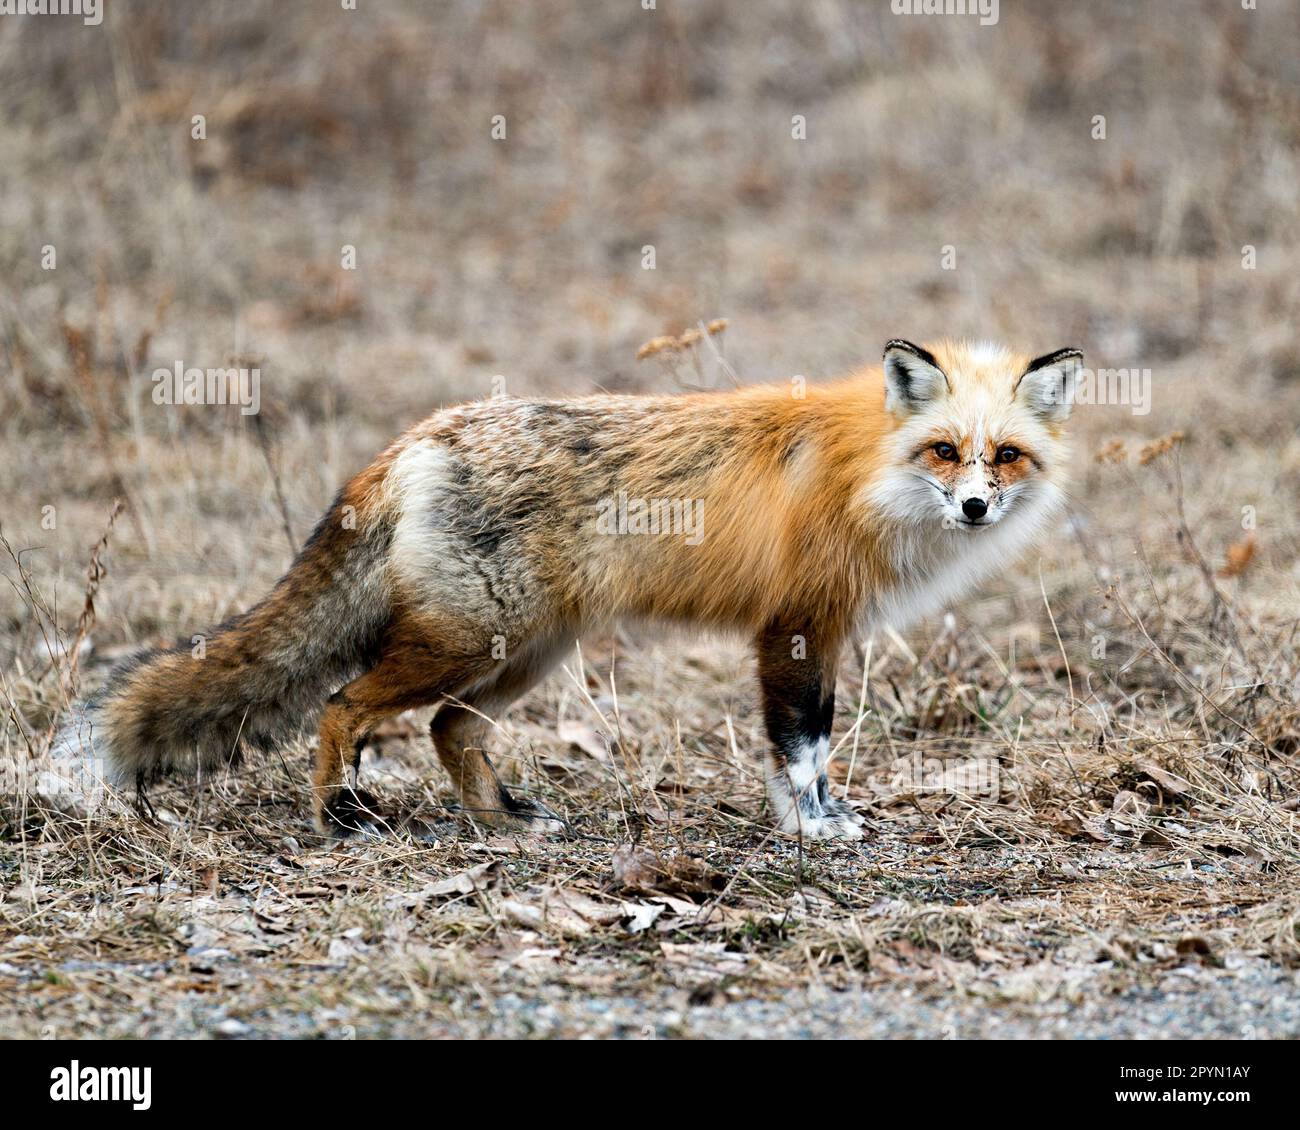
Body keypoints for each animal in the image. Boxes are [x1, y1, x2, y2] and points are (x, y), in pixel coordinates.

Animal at [55, 340, 1081, 842]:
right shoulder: (792, 632)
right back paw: (340, 818)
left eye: (1005, 456)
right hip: (469, 644)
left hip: (523, 655)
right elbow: (802, 748)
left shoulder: (820, 634)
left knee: (449, 731)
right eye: (944, 450)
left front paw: (820, 821)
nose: (978, 507)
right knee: (344, 705)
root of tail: (414, 439)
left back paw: (504, 821)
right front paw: (816, 830)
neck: (866, 474)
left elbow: (814, 748)